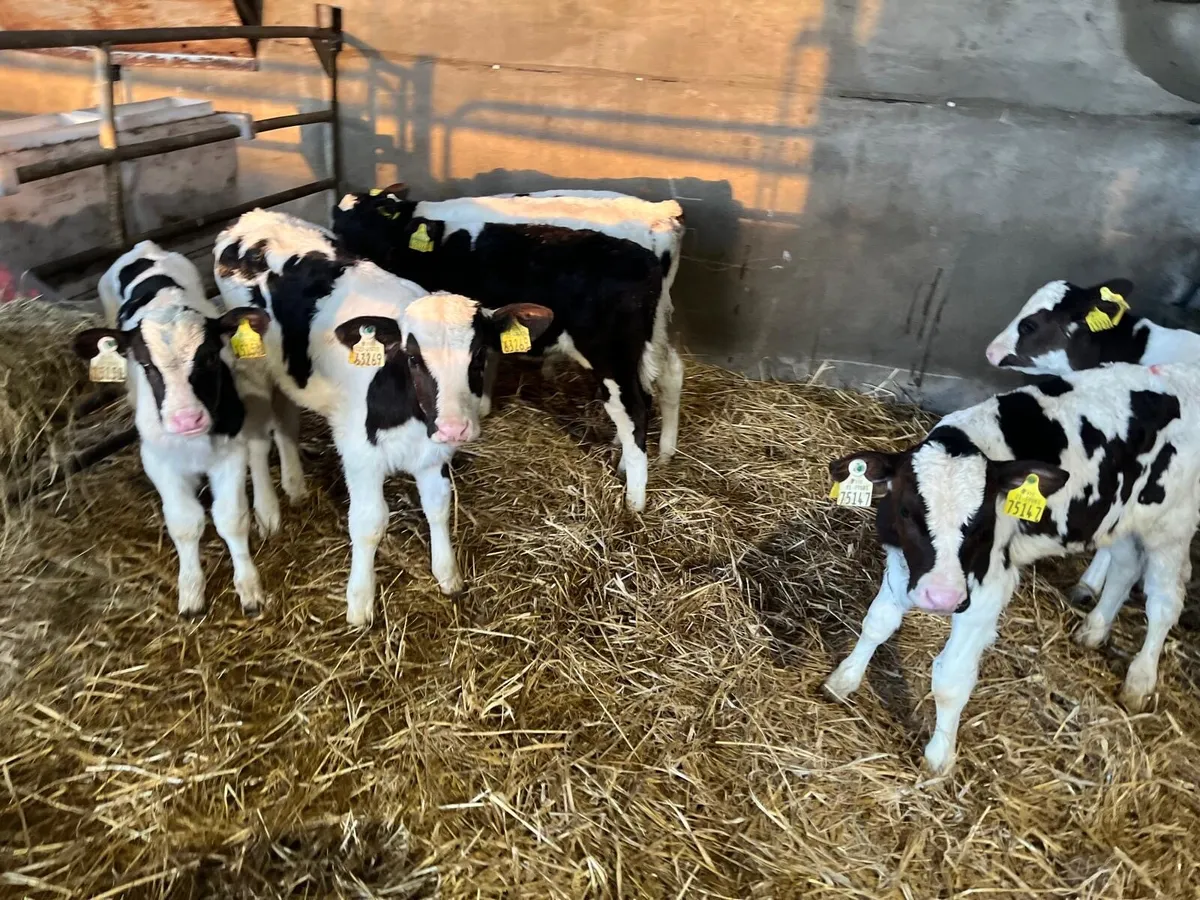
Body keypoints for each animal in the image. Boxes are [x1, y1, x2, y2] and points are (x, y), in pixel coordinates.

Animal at [72, 241, 270, 617]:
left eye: (210, 357)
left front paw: (249, 586)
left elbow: (230, 518)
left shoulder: (230, 452)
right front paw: (191, 590)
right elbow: (185, 523)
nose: (186, 420)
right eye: (146, 365)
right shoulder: (157, 460)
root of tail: (143, 247)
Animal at [212, 209, 553, 627]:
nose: (455, 427)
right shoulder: (359, 454)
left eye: (479, 355)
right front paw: (359, 601)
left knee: (287, 418)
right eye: (413, 357)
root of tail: (251, 217)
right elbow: (369, 522)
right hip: (251, 367)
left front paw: (447, 573)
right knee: (258, 440)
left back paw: (294, 483)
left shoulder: (434, 451)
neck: (409, 412)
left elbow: (438, 506)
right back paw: (268, 512)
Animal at [331, 186, 685, 513]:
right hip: (654, 334)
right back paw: (662, 452)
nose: (347, 259)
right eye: (337, 222)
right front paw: (483, 405)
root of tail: (661, 214)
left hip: (611, 352)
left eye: (371, 221)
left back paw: (634, 501)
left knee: (633, 408)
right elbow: (487, 358)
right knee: (668, 377)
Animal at [823, 362, 1200, 773]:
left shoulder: (987, 592)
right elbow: (876, 624)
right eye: (907, 511)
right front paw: (843, 680)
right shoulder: (902, 564)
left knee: (1164, 602)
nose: (942, 597)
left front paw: (939, 757)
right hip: (1119, 516)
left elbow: (950, 678)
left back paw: (1140, 680)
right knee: (1125, 564)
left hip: (1172, 525)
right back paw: (1095, 629)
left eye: (982, 521)